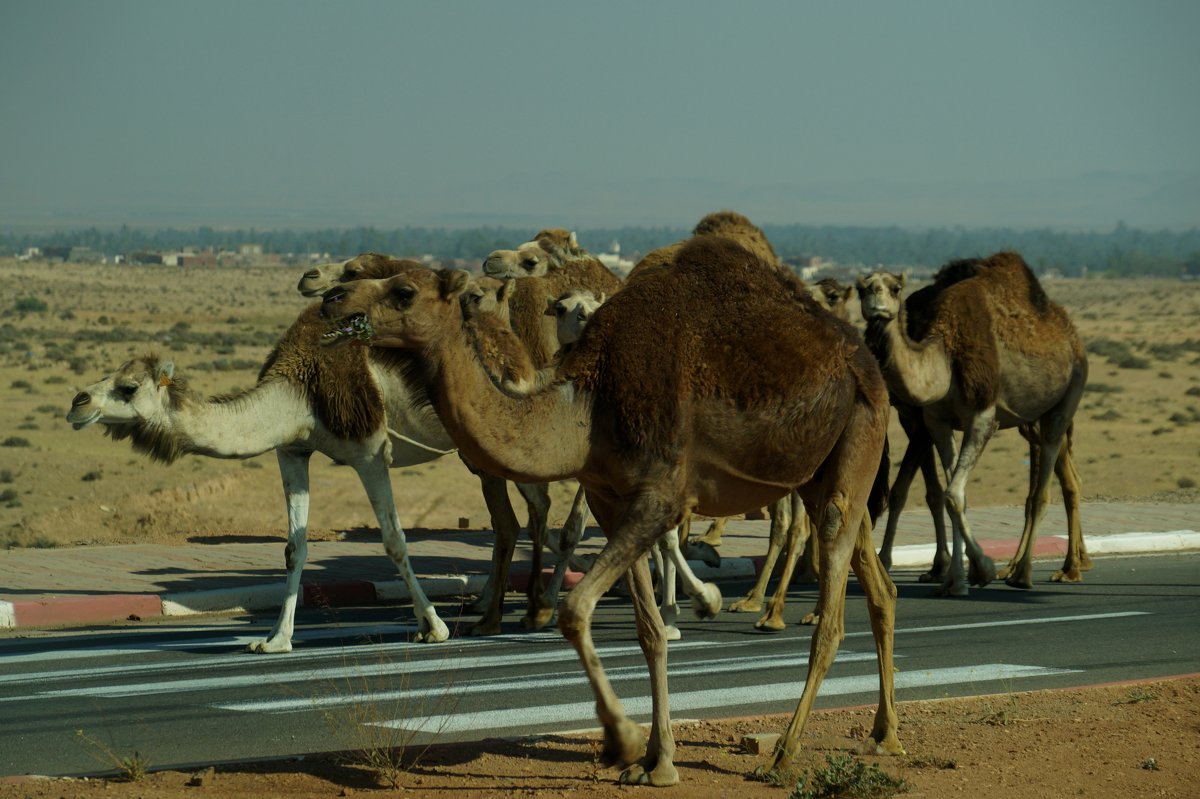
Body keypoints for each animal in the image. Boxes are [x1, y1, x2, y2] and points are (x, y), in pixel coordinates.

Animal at [319, 236, 902, 782]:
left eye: (403, 290)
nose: (332, 298)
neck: (588, 407)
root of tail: (861, 355)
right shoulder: (610, 499)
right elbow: (648, 633)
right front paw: (658, 761)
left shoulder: (660, 495)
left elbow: (577, 610)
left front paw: (622, 739)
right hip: (820, 469)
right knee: (877, 583)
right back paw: (885, 736)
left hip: (860, 431)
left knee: (832, 615)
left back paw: (783, 751)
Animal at [859, 251, 1094, 595]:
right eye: (860, 288)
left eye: (895, 287)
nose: (875, 300)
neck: (945, 356)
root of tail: (1069, 331)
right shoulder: (937, 422)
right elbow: (953, 497)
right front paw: (956, 580)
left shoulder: (982, 416)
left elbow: (950, 494)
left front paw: (982, 569)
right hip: (1032, 419)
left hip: (1067, 397)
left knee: (1043, 490)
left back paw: (1027, 574)